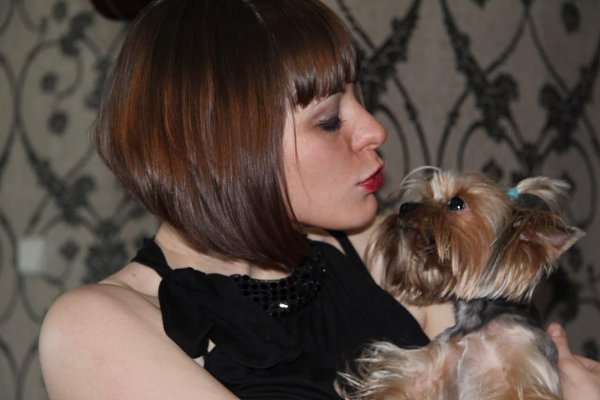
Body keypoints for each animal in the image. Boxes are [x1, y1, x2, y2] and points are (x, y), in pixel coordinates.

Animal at [337, 168, 584, 400]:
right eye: (426, 196)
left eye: (456, 203)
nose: (405, 207)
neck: (475, 321)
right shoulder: (430, 367)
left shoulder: (525, 367)